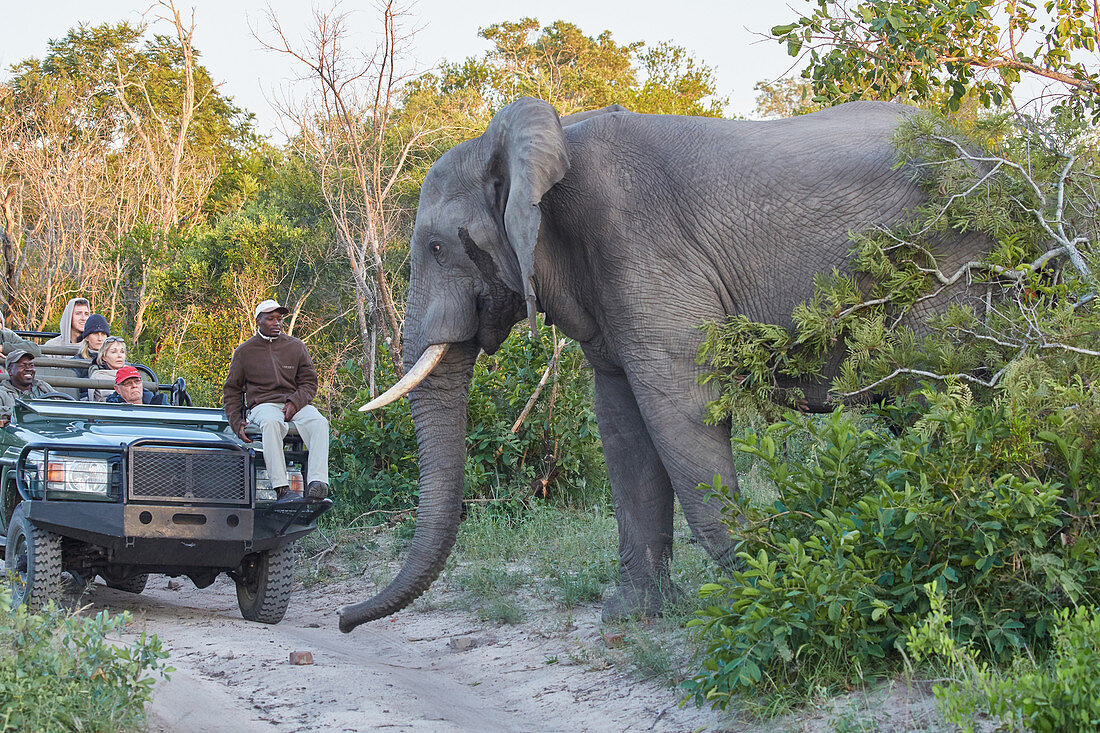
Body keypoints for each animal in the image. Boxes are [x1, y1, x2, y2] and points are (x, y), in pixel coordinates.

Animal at [338, 96, 994, 629]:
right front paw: (630, 616)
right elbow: (624, 426)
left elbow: (681, 408)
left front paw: (765, 590)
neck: (552, 142)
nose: (343, 621)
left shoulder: (640, 246)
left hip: (946, 265)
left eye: (437, 247)